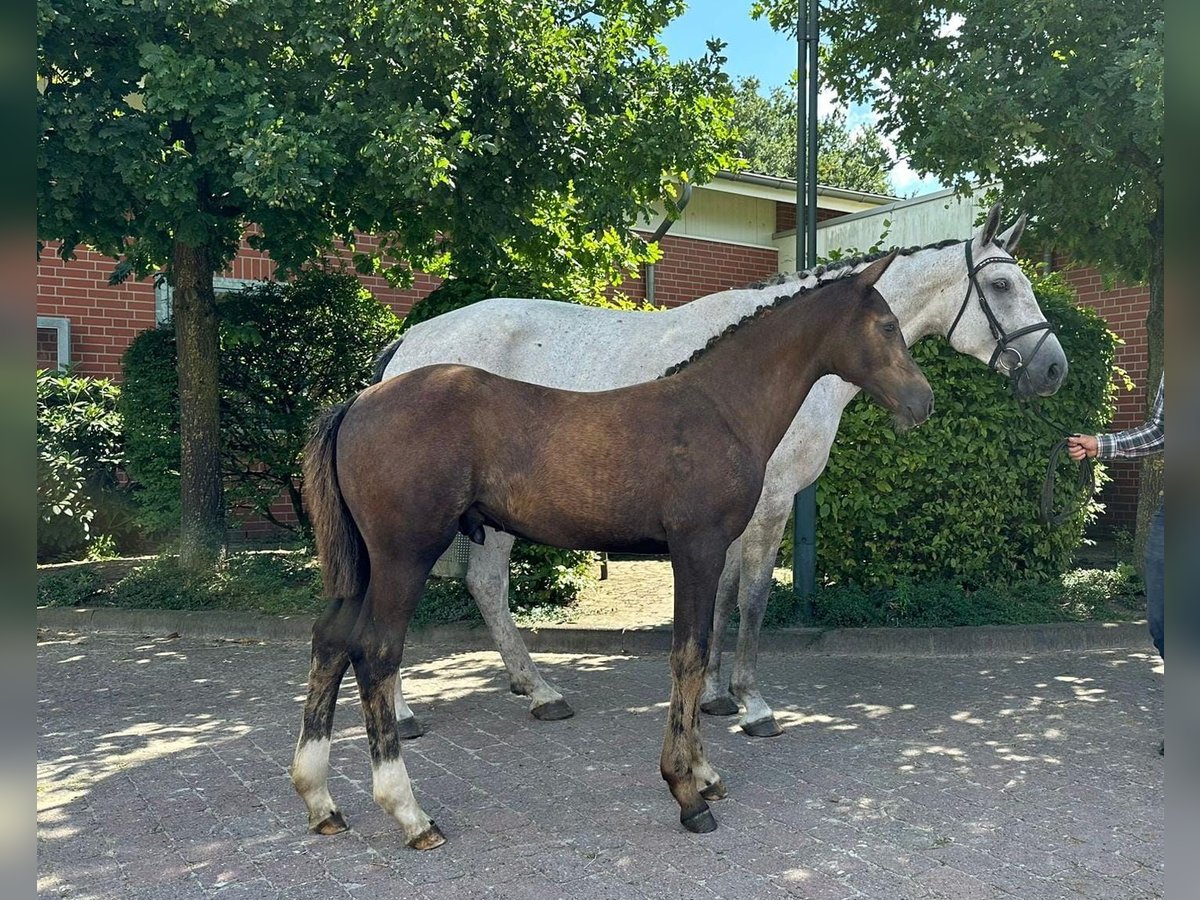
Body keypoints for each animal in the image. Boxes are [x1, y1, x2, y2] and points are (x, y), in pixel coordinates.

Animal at [295, 252, 931, 844]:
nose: (922, 402)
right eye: (887, 325)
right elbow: (689, 655)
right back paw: (410, 812)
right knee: (377, 651)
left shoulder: (712, 550)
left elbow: (703, 648)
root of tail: (358, 402)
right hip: (404, 554)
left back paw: (321, 801)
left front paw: (704, 773)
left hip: (365, 563)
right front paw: (687, 791)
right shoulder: (697, 548)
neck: (721, 407)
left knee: (331, 640)